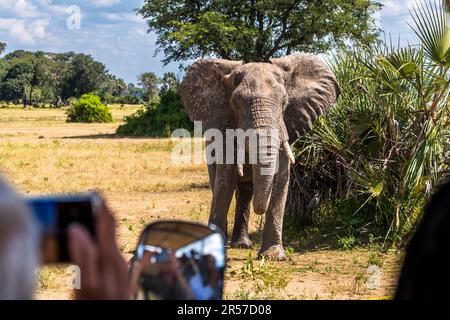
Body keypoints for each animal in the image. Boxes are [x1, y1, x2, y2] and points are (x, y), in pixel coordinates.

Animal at [179, 53, 342, 262]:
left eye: (284, 102)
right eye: (235, 103)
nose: (260, 211)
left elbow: (281, 178)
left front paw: (273, 256)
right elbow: (225, 180)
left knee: (245, 192)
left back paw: (242, 244)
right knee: (220, 185)